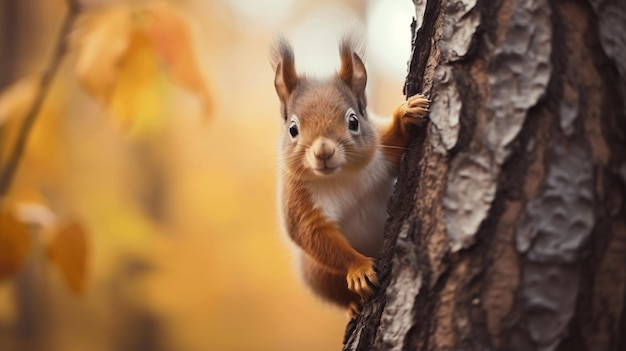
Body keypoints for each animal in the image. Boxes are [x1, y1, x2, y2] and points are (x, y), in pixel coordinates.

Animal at [270, 35, 426, 316]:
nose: (323, 151)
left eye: (353, 121)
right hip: (318, 274)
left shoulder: (382, 153)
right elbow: (313, 236)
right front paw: (359, 269)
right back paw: (352, 305)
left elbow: (395, 144)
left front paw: (406, 115)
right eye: (292, 129)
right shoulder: (300, 203)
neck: (341, 176)